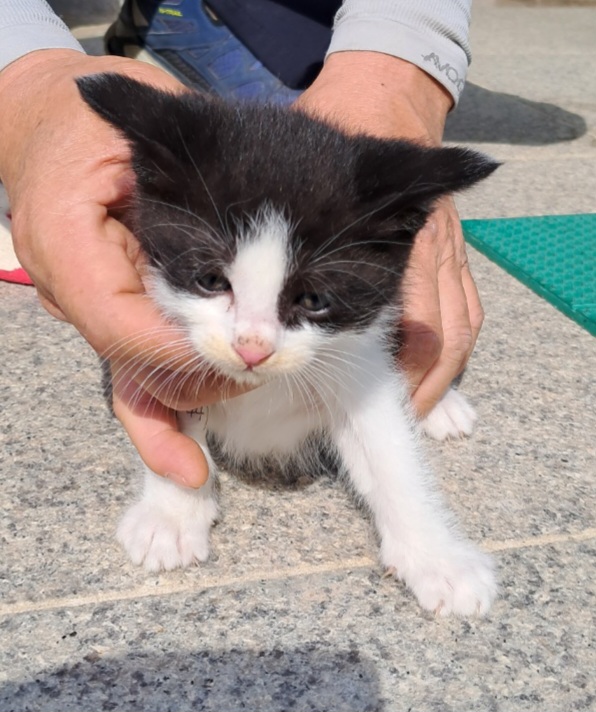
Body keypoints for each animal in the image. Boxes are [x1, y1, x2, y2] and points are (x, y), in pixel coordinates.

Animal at [78, 73, 498, 616]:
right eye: (211, 279)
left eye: (314, 299)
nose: (253, 348)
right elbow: (172, 421)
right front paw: (171, 513)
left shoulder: (358, 358)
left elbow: (390, 454)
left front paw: (438, 557)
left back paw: (441, 404)